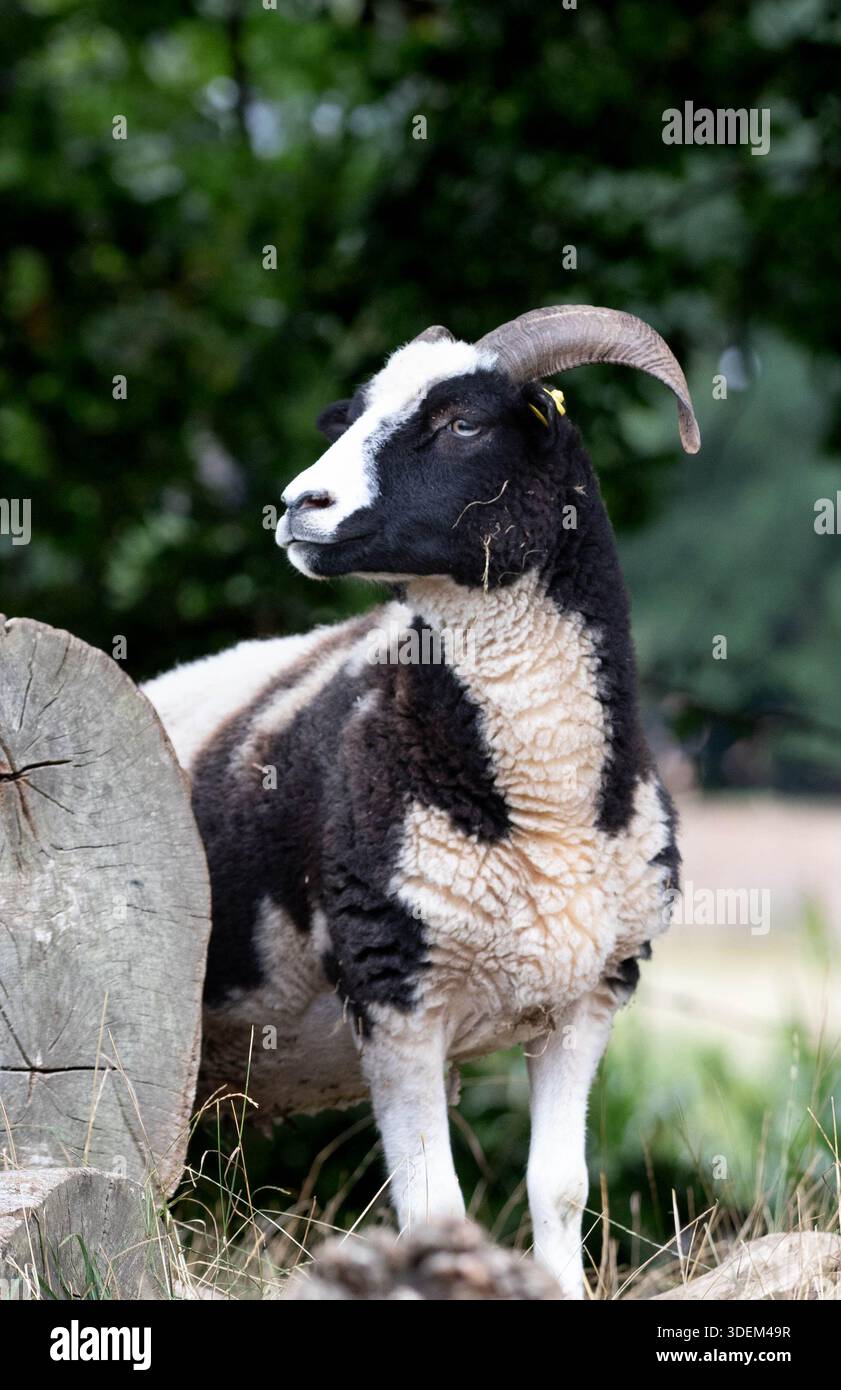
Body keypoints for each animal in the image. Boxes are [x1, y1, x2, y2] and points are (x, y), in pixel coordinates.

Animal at [142, 304, 699, 1299]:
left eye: (463, 422)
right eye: (353, 414)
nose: (300, 505)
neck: (543, 812)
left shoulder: (587, 998)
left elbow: (558, 1189)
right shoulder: (395, 992)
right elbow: (436, 1208)